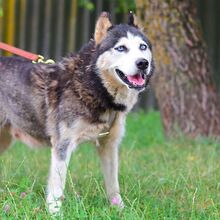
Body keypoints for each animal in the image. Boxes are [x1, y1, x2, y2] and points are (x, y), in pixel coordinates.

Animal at [0, 12, 154, 213]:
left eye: (142, 47)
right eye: (121, 48)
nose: (143, 63)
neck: (92, 85)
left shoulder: (109, 145)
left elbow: (113, 185)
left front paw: (120, 210)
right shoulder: (62, 145)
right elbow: (57, 188)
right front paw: (55, 213)